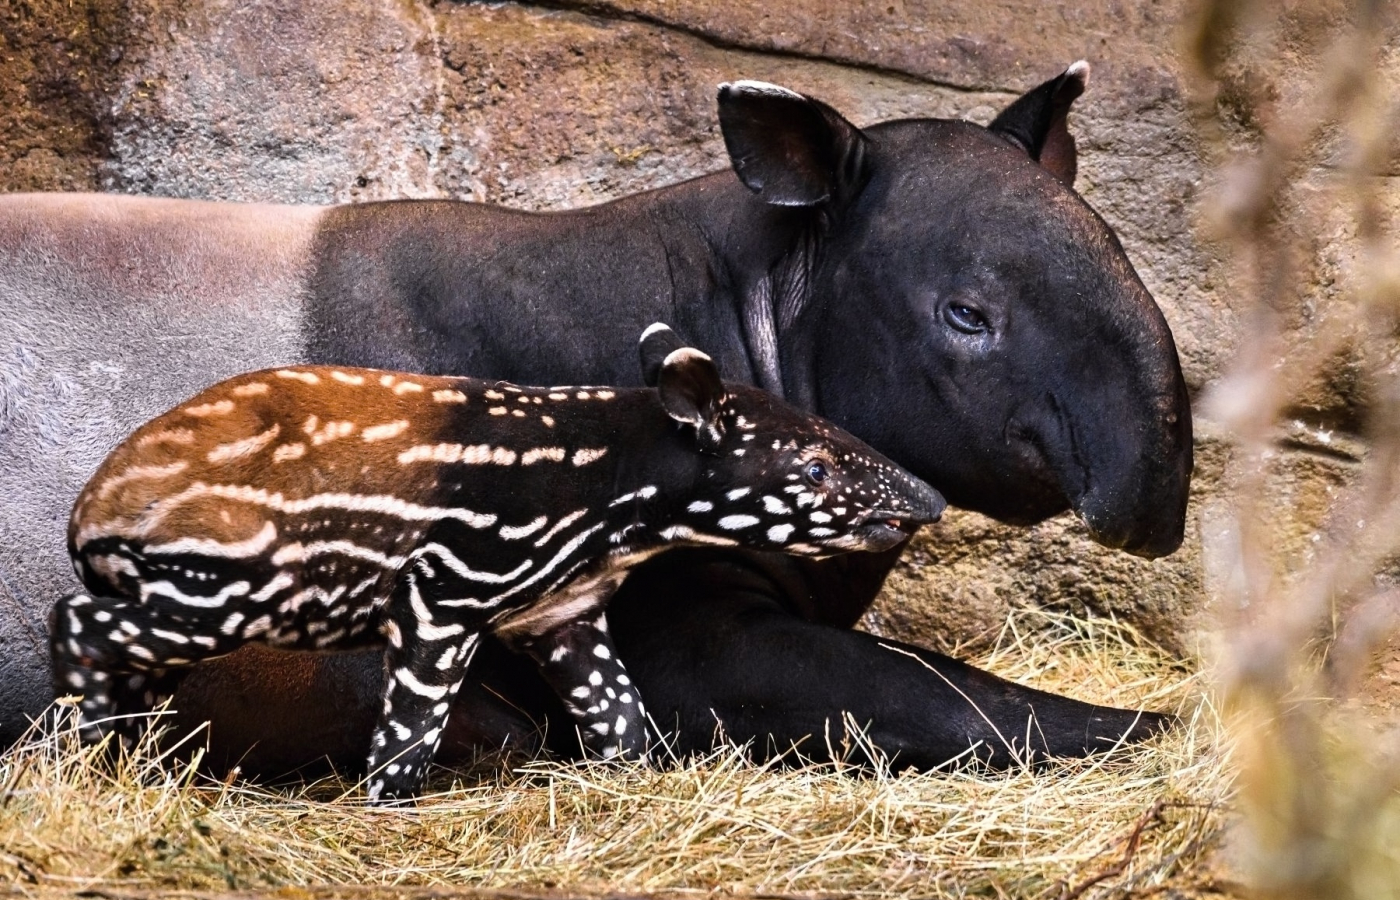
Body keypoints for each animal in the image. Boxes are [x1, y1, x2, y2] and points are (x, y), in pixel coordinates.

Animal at [49, 326, 940, 800]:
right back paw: (75, 759)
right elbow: (409, 735)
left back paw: (123, 767)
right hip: (216, 584)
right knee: (79, 621)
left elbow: (621, 715)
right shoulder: (445, 596)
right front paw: (389, 809)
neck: (609, 487)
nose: (927, 500)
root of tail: (91, 508)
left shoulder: (561, 611)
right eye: (816, 469)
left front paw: (628, 787)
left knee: (129, 664)